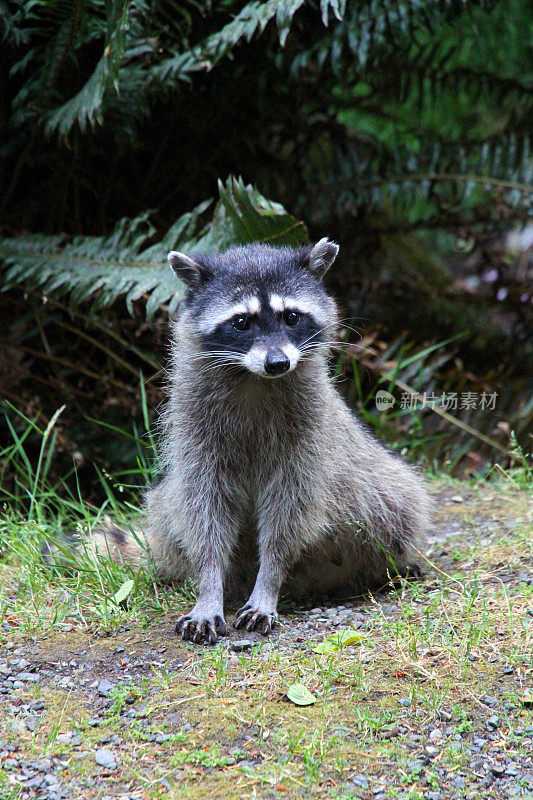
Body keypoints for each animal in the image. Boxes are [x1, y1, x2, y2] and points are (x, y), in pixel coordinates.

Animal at [85, 238, 430, 644]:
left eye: (292, 317)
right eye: (241, 322)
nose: (278, 363)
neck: (254, 378)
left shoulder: (308, 435)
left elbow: (289, 511)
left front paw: (269, 580)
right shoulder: (196, 431)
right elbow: (204, 509)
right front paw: (208, 585)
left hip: (375, 475)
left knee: (397, 497)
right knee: (173, 503)